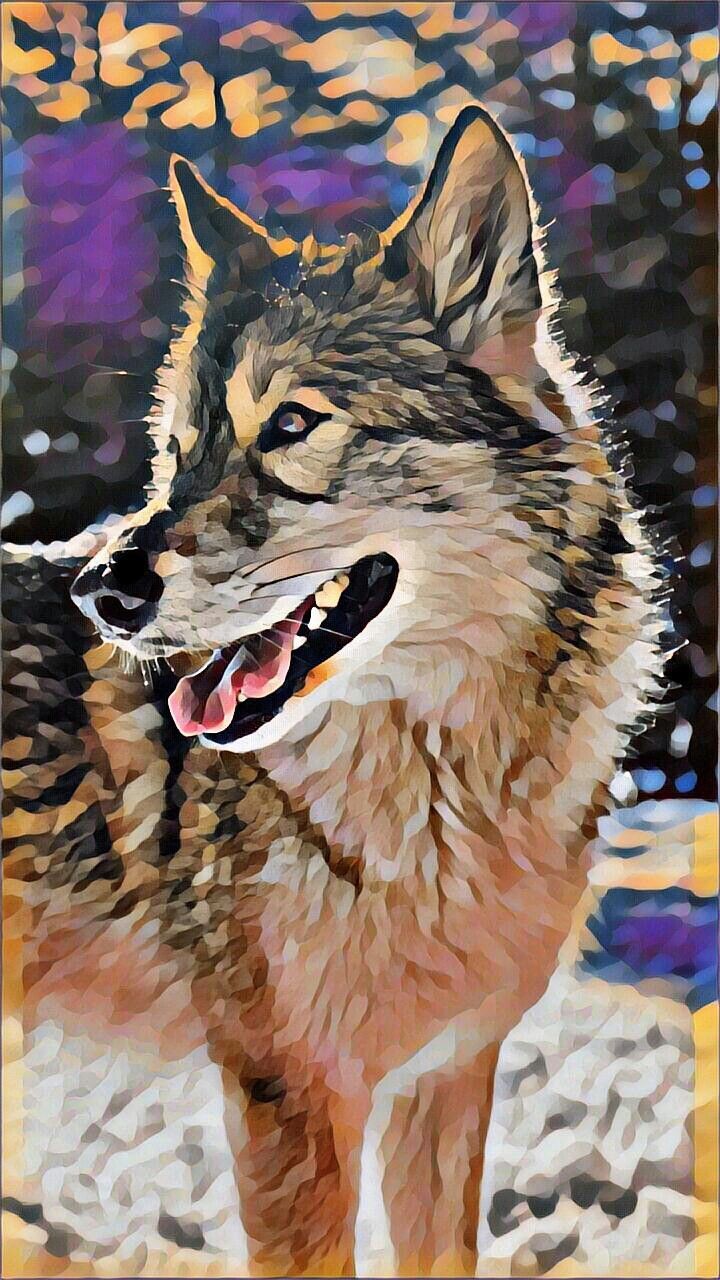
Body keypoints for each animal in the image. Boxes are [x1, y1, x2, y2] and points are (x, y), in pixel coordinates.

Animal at [6, 106, 664, 1277]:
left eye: (290, 427)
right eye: (178, 451)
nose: (103, 589)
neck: (445, 795)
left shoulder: (445, 1076)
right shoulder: (291, 1096)